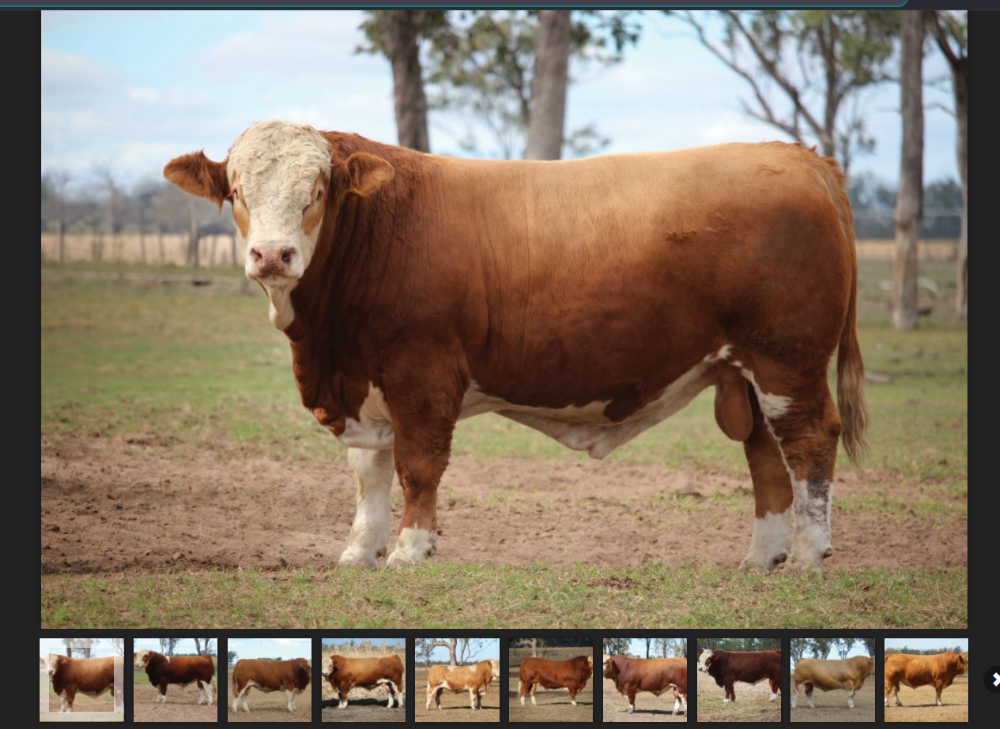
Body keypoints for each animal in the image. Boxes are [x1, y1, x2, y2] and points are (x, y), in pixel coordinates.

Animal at [165, 121, 867, 574]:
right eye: (237, 192)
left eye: (316, 192)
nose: (272, 255)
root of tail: (798, 156)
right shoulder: (364, 385)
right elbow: (369, 472)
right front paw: (358, 552)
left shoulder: (423, 372)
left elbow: (418, 466)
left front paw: (410, 552)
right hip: (746, 373)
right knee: (766, 456)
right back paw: (760, 558)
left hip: (787, 361)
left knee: (809, 441)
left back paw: (808, 557)